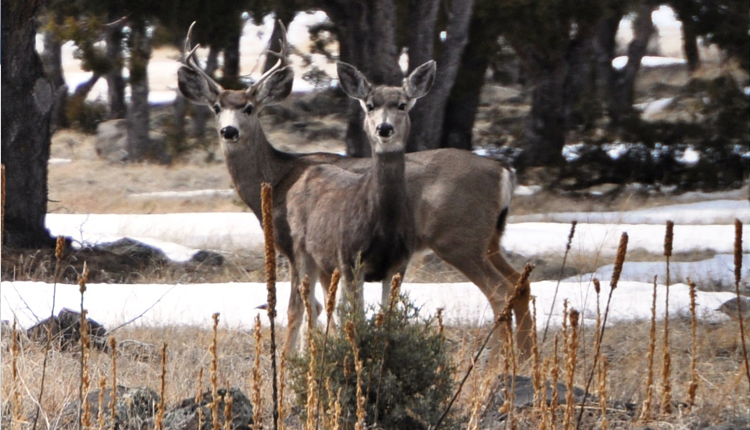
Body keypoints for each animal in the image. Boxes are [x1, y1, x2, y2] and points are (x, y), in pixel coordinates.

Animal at [177, 23, 532, 360]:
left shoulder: (293, 246)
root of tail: (503, 172)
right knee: (520, 283)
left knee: (499, 292)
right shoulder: (330, 258)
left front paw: (294, 360)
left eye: (249, 108)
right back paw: (523, 358)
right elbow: (325, 307)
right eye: (216, 107)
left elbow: (302, 308)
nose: (229, 131)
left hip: (459, 237)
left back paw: (499, 362)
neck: (278, 177)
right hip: (489, 238)